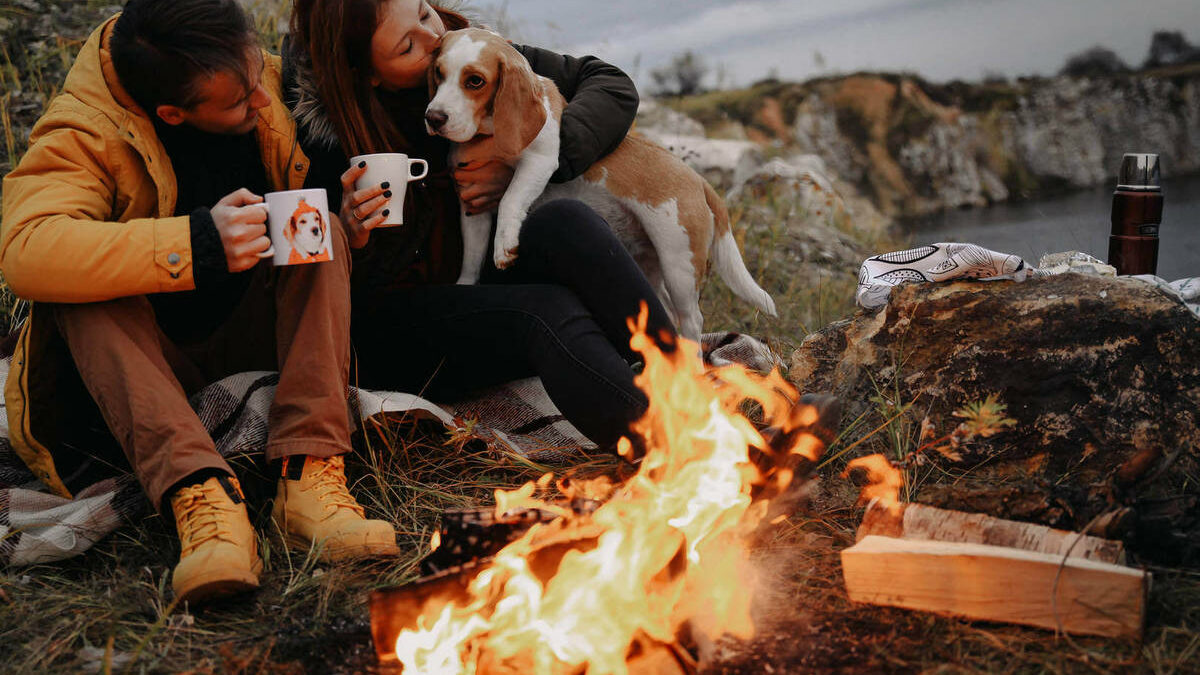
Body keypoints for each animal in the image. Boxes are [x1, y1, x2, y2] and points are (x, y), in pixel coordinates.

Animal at [427, 28, 772, 338]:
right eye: (439, 73)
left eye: (475, 80)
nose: (434, 118)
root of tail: (698, 180)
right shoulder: (472, 203)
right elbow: (471, 259)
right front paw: (465, 287)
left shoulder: (540, 160)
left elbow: (512, 197)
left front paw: (505, 245)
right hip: (648, 263)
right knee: (667, 314)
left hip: (680, 267)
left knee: (691, 320)